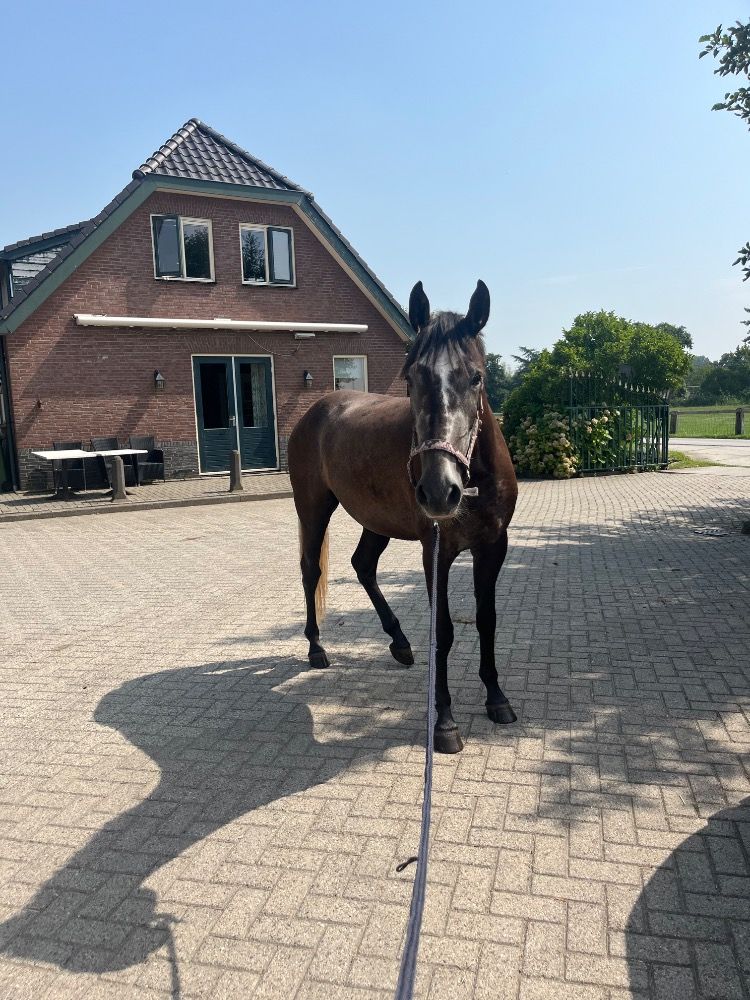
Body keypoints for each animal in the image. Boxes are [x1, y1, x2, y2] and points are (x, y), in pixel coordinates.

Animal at [287, 279, 518, 753]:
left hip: (376, 521)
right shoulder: (437, 551)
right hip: (314, 507)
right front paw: (444, 722)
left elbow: (486, 619)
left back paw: (399, 642)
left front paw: (497, 698)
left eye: (476, 376)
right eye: (412, 377)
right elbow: (443, 631)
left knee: (362, 565)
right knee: (310, 571)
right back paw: (317, 649)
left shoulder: (493, 547)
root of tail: (317, 409)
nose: (439, 490)